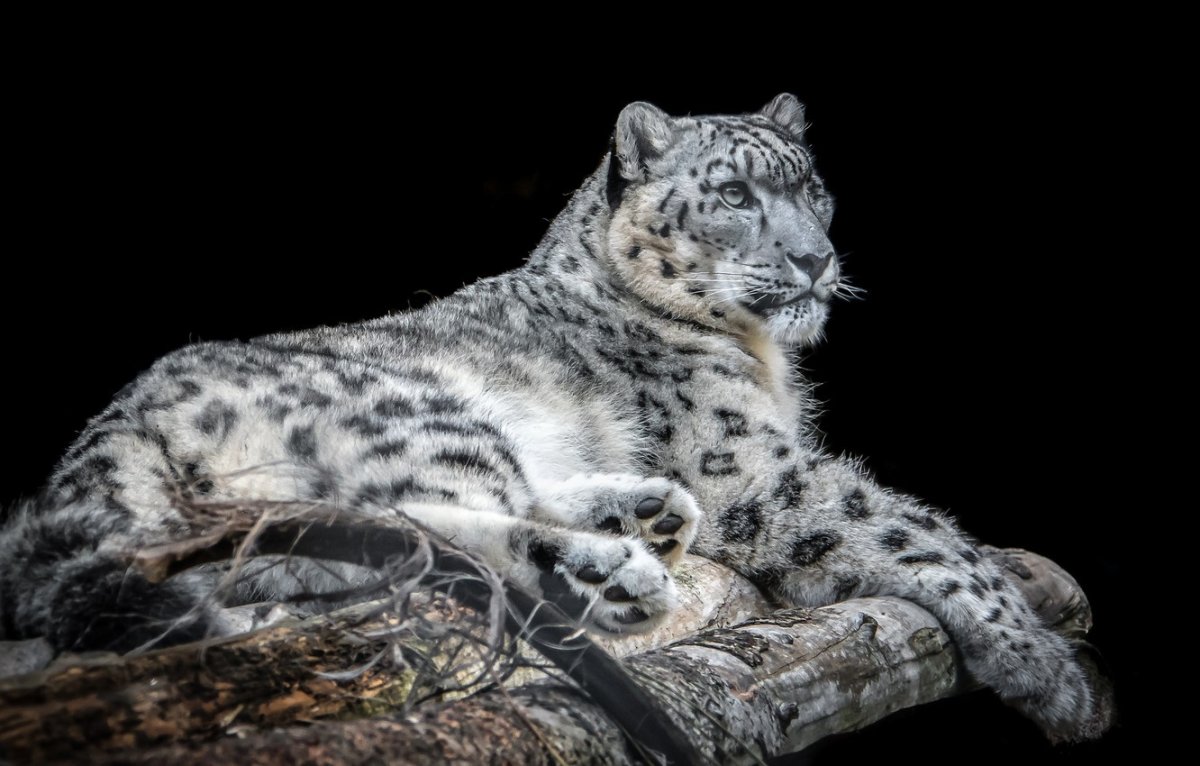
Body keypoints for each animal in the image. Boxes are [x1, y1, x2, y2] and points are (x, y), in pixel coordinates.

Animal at [0, 94, 1105, 742]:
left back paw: (639, 514)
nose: (813, 260)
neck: (765, 357)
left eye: (814, 187)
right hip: (425, 413)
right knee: (425, 533)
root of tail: (99, 445)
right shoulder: (754, 470)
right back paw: (612, 569)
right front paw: (1053, 673)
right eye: (734, 193)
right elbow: (911, 528)